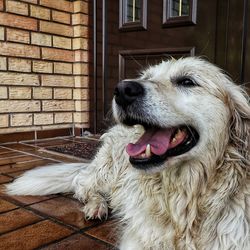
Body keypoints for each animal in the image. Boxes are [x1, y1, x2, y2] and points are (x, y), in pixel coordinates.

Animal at [4, 57, 249, 249]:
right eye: (147, 76)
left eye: (187, 81)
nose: (123, 89)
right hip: (107, 169)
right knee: (82, 185)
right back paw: (96, 206)